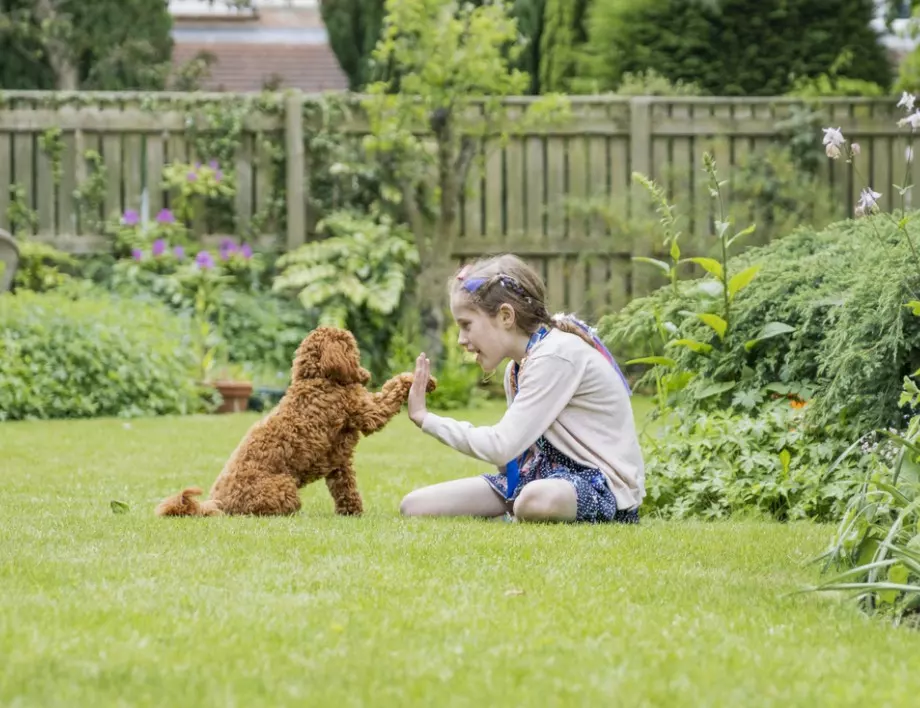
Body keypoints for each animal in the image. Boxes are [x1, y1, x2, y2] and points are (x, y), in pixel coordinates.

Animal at [155, 324, 434, 516]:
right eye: (353, 351)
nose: (366, 374)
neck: (317, 379)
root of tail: (218, 502)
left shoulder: (338, 461)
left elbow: (346, 489)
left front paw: (352, 513)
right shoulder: (366, 411)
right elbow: (393, 388)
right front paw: (421, 380)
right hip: (284, 486)